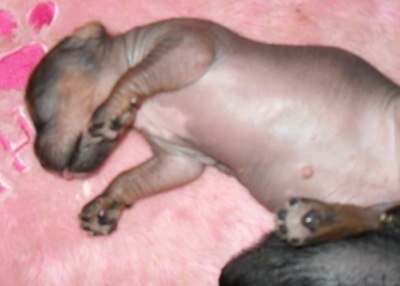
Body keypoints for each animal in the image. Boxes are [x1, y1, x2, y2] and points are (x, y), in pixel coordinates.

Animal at [25, 19, 400, 284]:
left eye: (36, 113)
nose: (41, 163)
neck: (146, 111)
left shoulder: (189, 43)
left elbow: (130, 77)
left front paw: (112, 107)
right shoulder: (178, 160)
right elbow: (129, 177)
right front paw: (107, 203)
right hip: (373, 209)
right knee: (375, 219)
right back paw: (314, 219)